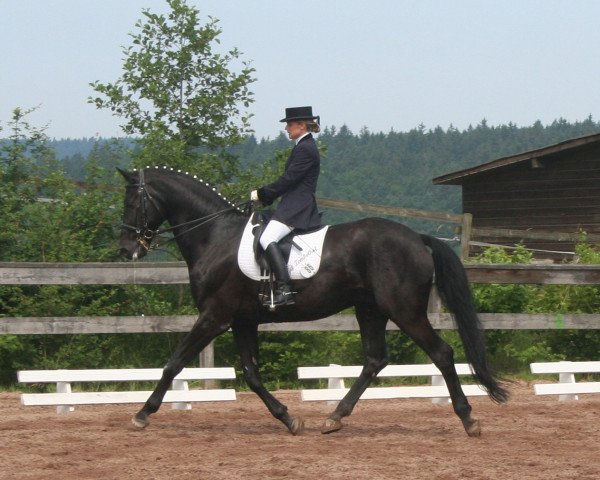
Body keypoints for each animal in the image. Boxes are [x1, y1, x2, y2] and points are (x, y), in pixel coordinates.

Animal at [116, 167, 506, 436]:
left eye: (133, 202)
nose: (127, 249)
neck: (215, 237)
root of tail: (416, 237)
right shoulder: (243, 320)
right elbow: (252, 375)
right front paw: (289, 419)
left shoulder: (215, 316)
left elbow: (174, 363)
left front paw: (142, 414)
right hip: (370, 309)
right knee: (375, 359)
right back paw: (334, 417)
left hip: (404, 310)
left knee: (441, 353)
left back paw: (468, 419)